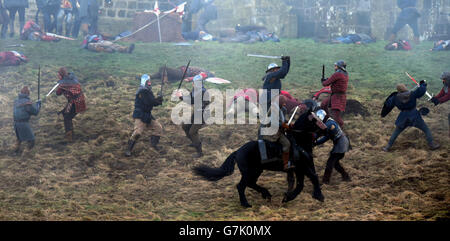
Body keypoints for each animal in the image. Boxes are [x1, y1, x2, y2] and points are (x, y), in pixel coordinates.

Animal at [192, 102, 324, 208]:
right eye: (315, 119)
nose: (326, 128)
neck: (299, 141)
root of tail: (238, 151)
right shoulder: (303, 167)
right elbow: (313, 177)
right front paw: (319, 196)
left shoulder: (299, 169)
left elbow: (301, 184)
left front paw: (288, 197)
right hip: (249, 172)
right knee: (241, 186)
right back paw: (246, 204)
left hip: (257, 171)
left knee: (251, 183)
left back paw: (266, 194)